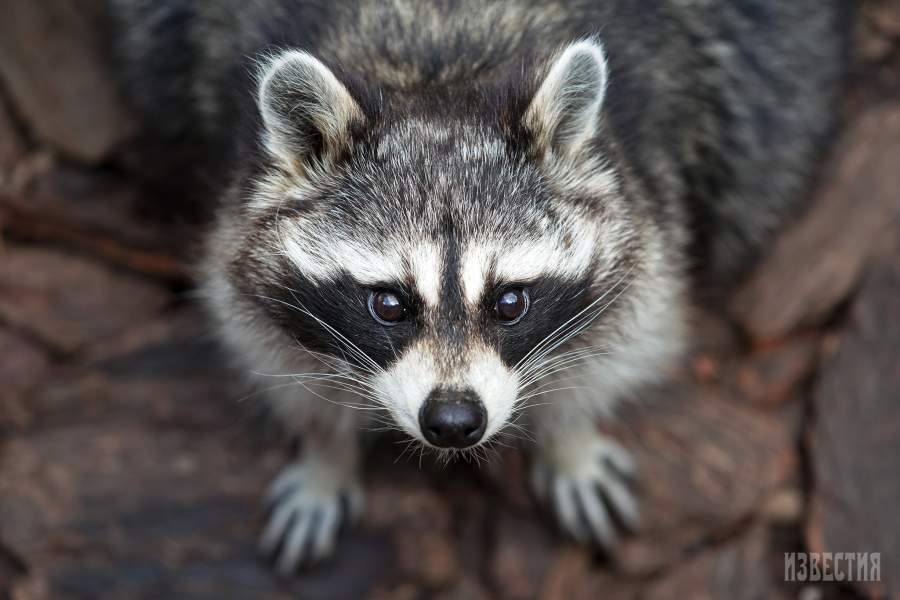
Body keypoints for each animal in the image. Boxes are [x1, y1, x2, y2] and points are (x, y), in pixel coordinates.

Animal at [110, 0, 844, 572]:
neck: (438, 72)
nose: (454, 423)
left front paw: (571, 437)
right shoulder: (239, 231)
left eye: (510, 301)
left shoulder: (644, 206)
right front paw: (325, 453)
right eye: (389, 304)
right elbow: (270, 352)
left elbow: (626, 334)